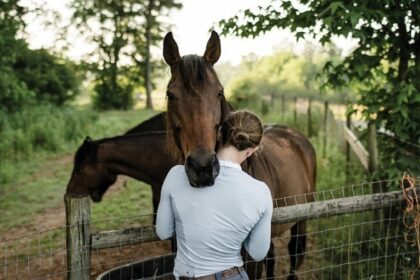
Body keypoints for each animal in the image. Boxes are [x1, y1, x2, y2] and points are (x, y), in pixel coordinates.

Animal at [162, 31, 316, 278]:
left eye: (219, 92)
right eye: (171, 94)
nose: (203, 168)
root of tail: (293, 134)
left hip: (302, 218)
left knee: (293, 254)